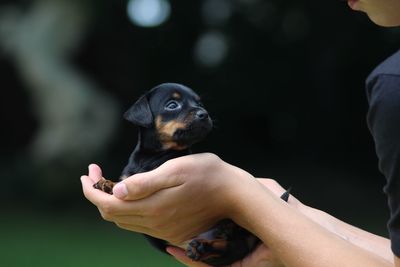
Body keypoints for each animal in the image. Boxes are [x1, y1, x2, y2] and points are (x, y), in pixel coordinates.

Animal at [93, 82, 290, 266]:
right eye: (172, 105)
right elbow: (123, 181)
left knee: (226, 248)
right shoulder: (130, 176)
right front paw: (106, 183)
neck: (153, 156)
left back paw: (202, 247)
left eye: (200, 103)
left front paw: (108, 184)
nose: (204, 113)